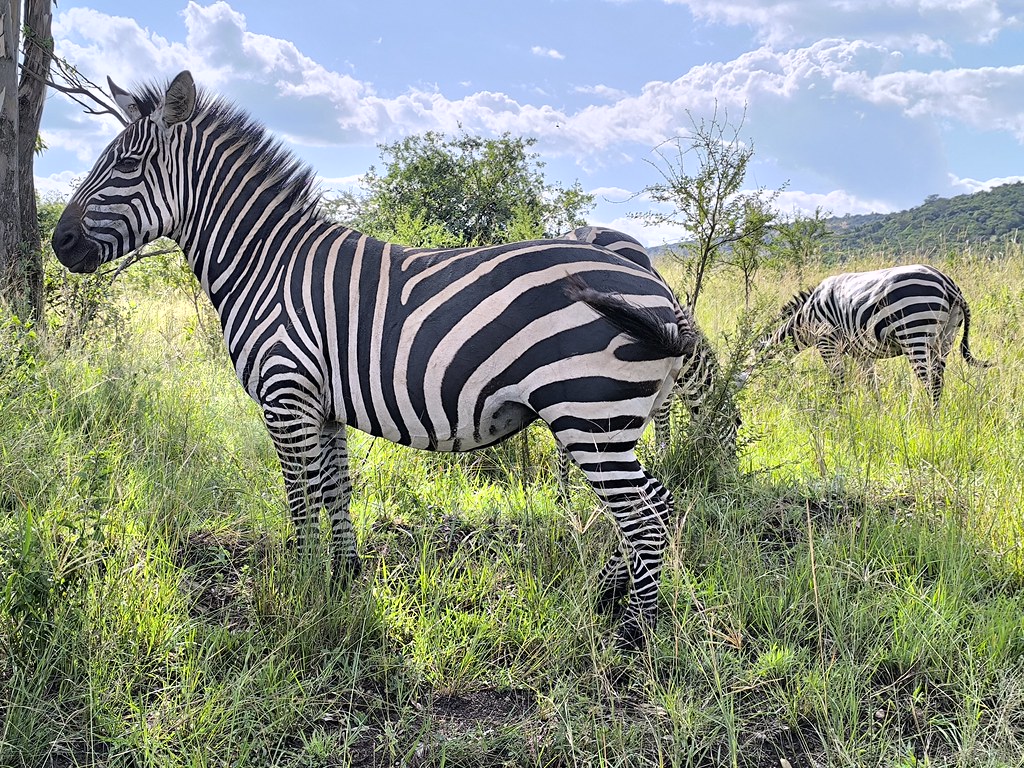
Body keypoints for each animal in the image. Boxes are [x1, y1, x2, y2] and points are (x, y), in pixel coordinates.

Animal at [51, 70, 695, 649]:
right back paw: (609, 597)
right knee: (656, 505)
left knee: (644, 515)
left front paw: (302, 590)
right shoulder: (322, 406)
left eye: (127, 166)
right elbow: (335, 491)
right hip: (612, 422)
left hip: (589, 414)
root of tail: (657, 286)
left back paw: (634, 631)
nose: (58, 243)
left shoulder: (286, 397)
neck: (265, 265)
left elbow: (301, 500)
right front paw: (342, 579)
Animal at [749, 263, 989, 405]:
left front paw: (838, 414)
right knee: (939, 377)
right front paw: (876, 414)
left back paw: (930, 422)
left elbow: (838, 381)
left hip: (915, 332)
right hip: (945, 338)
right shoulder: (861, 353)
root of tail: (947, 283)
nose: (757, 398)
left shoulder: (827, 342)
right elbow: (870, 383)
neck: (806, 318)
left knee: (931, 381)